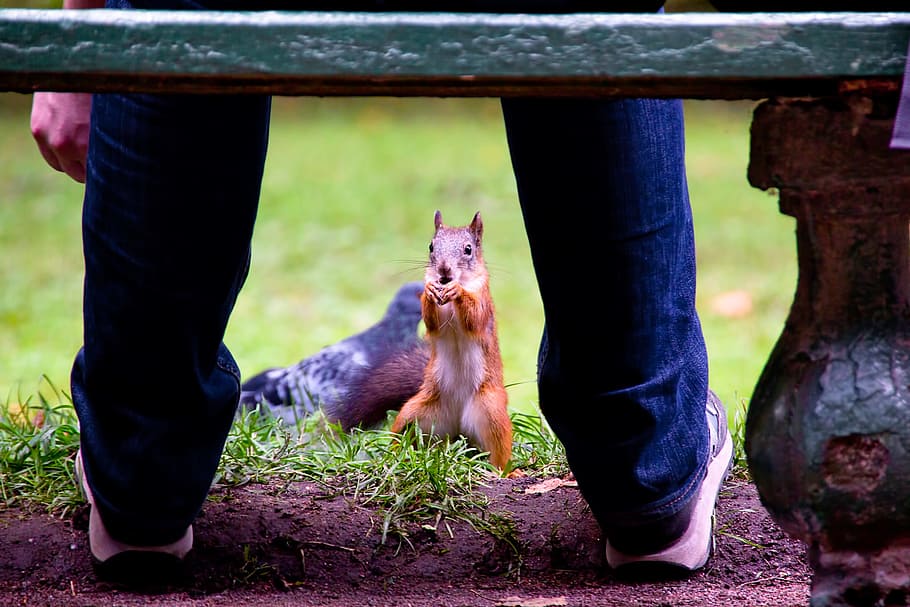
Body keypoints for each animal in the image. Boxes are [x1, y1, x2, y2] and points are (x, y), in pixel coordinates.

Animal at [342, 210, 513, 471]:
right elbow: (432, 322)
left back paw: (504, 472)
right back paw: (393, 459)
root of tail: (457, 428)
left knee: (499, 452)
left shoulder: (483, 300)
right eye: (431, 246)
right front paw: (431, 292)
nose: (444, 270)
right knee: (402, 435)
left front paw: (458, 292)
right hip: (415, 411)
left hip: (490, 411)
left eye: (468, 249)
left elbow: (474, 318)